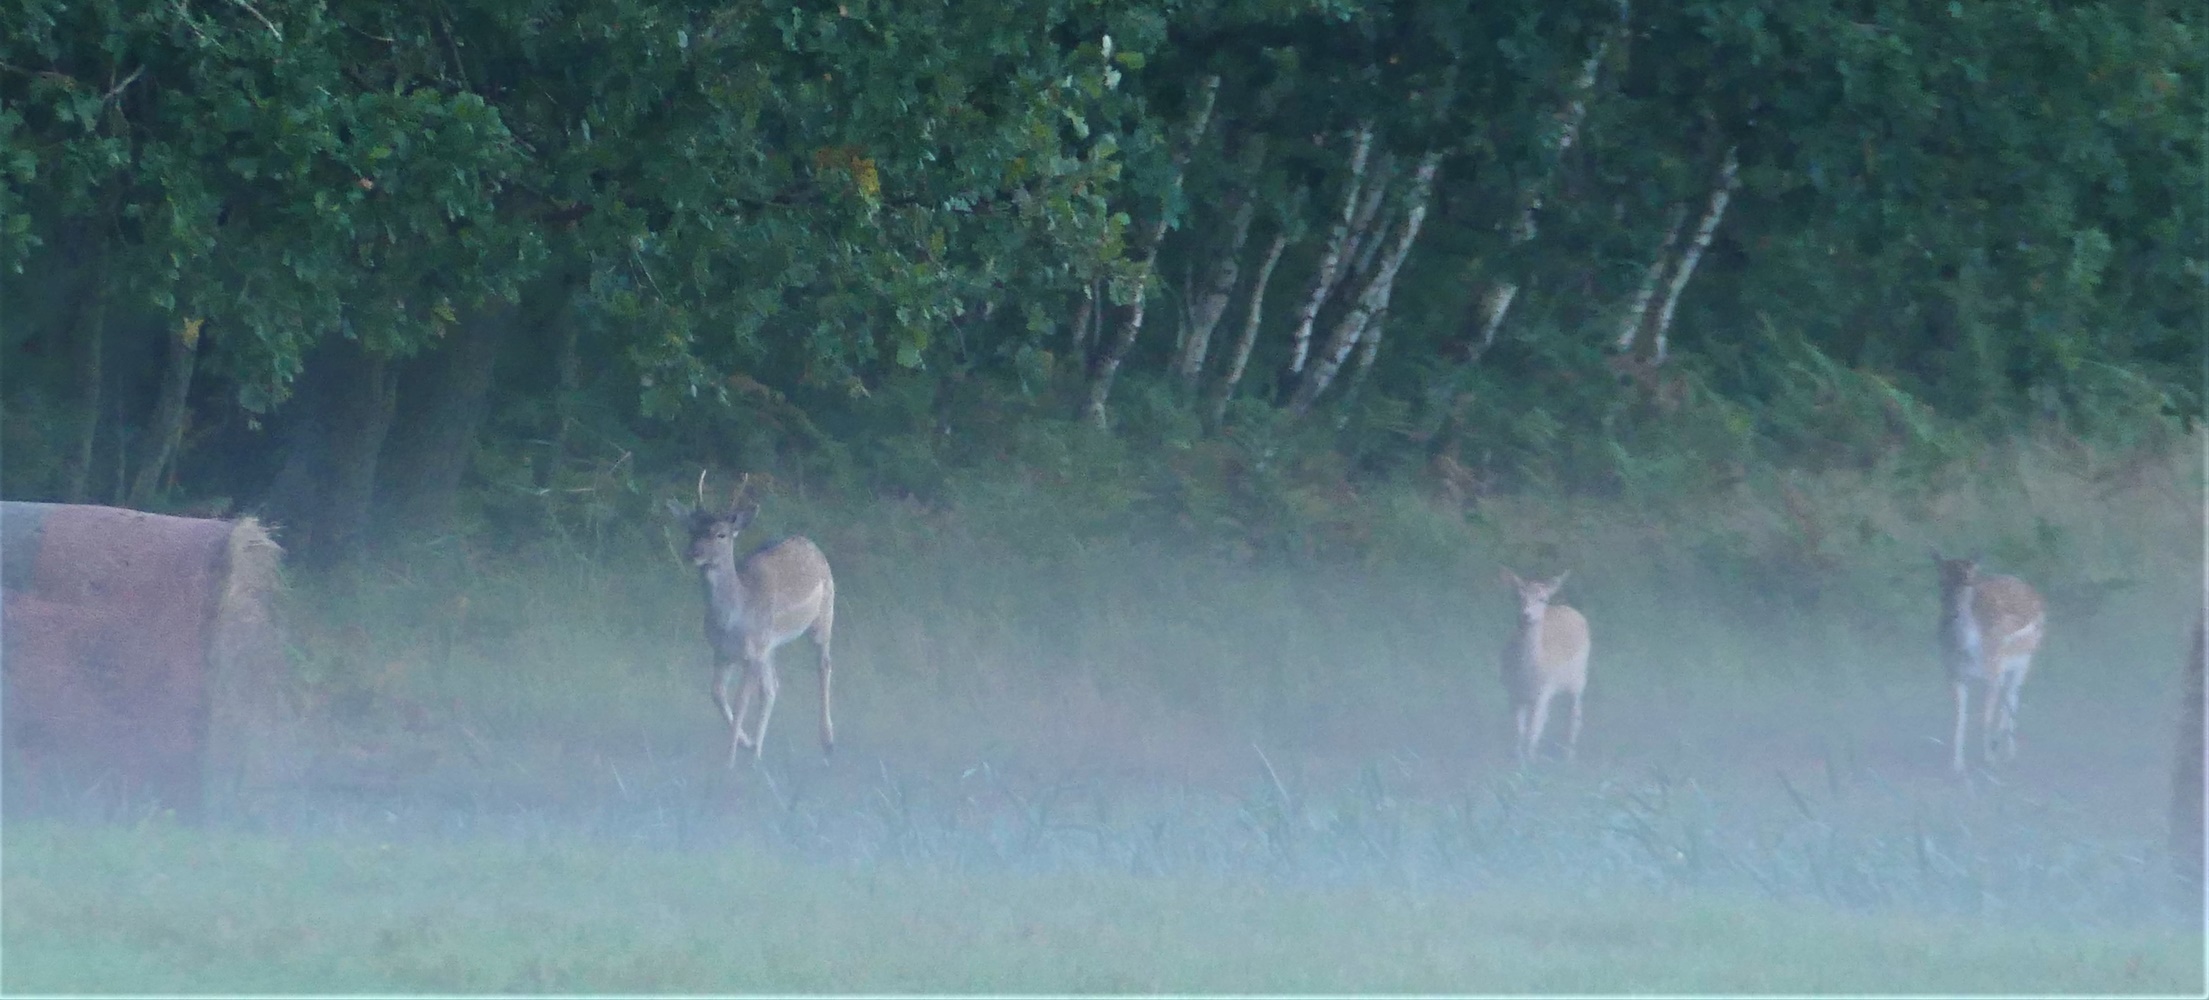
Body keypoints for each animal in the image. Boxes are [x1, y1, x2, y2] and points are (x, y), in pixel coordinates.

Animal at [662, 470, 835, 763]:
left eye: (721, 534)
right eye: (691, 529)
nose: (693, 553)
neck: (732, 619)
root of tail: (809, 543)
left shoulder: (752, 652)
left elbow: (741, 701)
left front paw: (729, 760)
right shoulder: (724, 651)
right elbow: (717, 693)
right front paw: (745, 743)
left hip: (824, 614)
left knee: (823, 664)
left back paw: (828, 742)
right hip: (770, 646)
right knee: (772, 687)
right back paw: (756, 750)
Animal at [1502, 569, 1590, 763]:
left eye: (1542, 599)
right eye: (1518, 596)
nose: (1526, 615)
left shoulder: (1544, 690)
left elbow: (1532, 732)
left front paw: (1530, 763)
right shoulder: (1512, 691)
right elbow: (1518, 732)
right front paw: (1517, 761)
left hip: (1579, 678)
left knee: (1575, 716)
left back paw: (1569, 757)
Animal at [1935, 554, 2049, 772]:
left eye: (1969, 582)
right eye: (1940, 581)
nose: (1953, 613)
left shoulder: (1993, 672)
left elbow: (1986, 717)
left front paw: (1989, 760)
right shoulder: (1953, 673)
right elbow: (1959, 717)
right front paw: (1957, 765)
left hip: (2024, 661)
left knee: (2012, 696)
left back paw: (2007, 752)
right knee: (2008, 698)